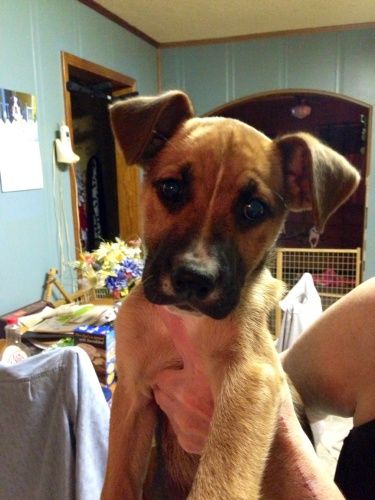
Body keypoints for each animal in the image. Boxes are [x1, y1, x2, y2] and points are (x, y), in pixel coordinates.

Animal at [101, 91, 360, 500]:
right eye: (171, 189)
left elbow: (221, 478)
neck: (186, 325)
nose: (193, 279)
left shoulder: (250, 378)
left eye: (253, 209)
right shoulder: (132, 392)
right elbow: (118, 480)